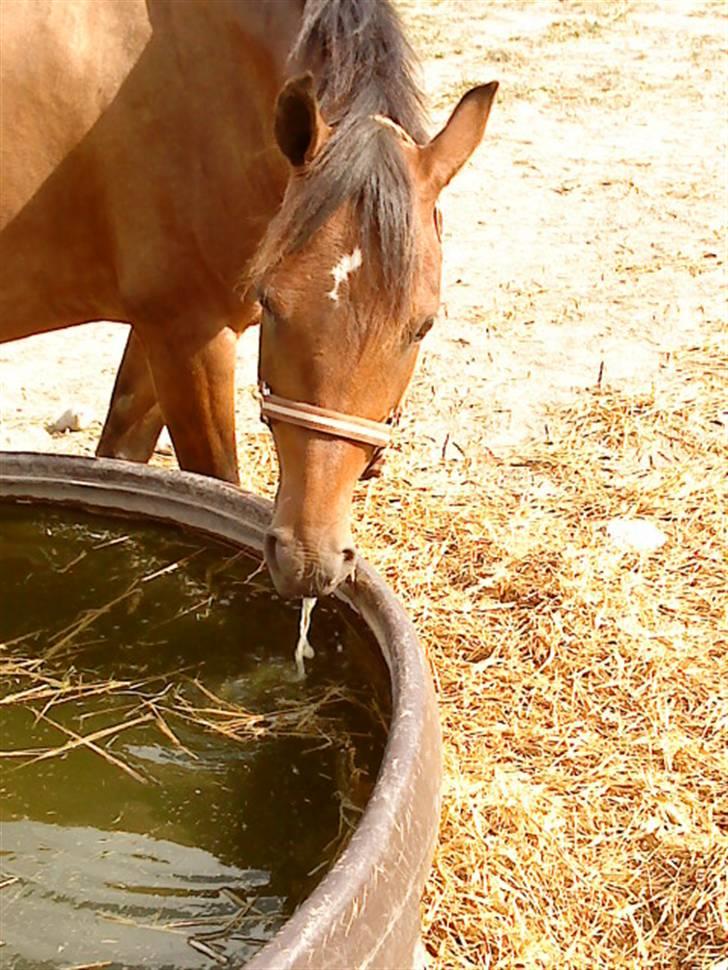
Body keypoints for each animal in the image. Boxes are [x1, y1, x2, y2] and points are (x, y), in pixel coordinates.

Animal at [0, 0, 498, 596]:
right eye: (272, 304)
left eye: (421, 326)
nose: (310, 560)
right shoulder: (190, 335)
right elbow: (217, 483)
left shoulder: (155, 331)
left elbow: (120, 461)